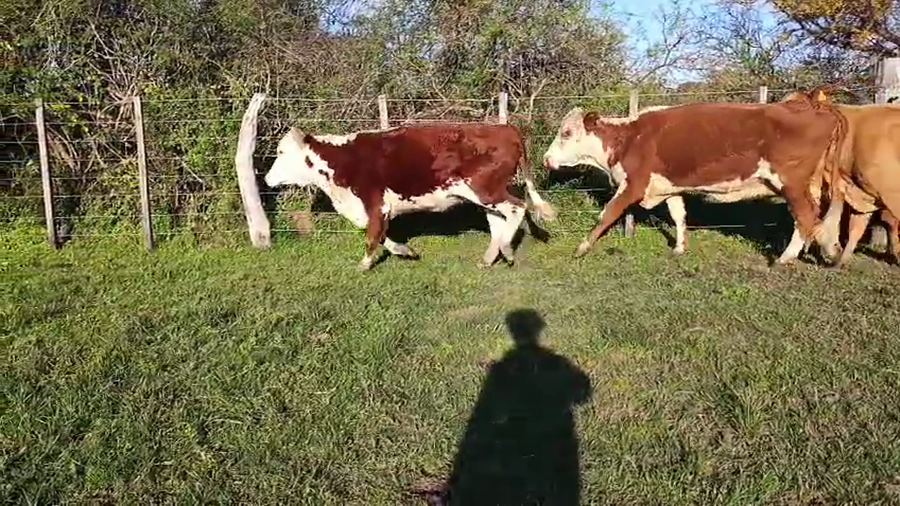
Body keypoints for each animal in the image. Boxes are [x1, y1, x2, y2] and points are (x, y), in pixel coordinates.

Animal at [263, 122, 557, 271]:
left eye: (280, 153)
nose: (266, 179)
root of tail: (506, 128)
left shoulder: (375, 202)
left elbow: (372, 235)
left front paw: (364, 264)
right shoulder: (368, 207)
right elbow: (377, 233)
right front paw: (405, 251)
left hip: (486, 189)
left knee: (517, 208)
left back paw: (506, 250)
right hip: (485, 194)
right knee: (498, 220)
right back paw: (490, 258)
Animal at [541, 93, 847, 263]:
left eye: (566, 133)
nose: (546, 158)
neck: (629, 140)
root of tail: (815, 108)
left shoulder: (634, 184)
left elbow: (607, 213)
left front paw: (582, 247)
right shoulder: (669, 187)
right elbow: (679, 215)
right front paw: (679, 248)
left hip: (791, 182)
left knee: (805, 217)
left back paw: (785, 258)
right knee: (815, 218)